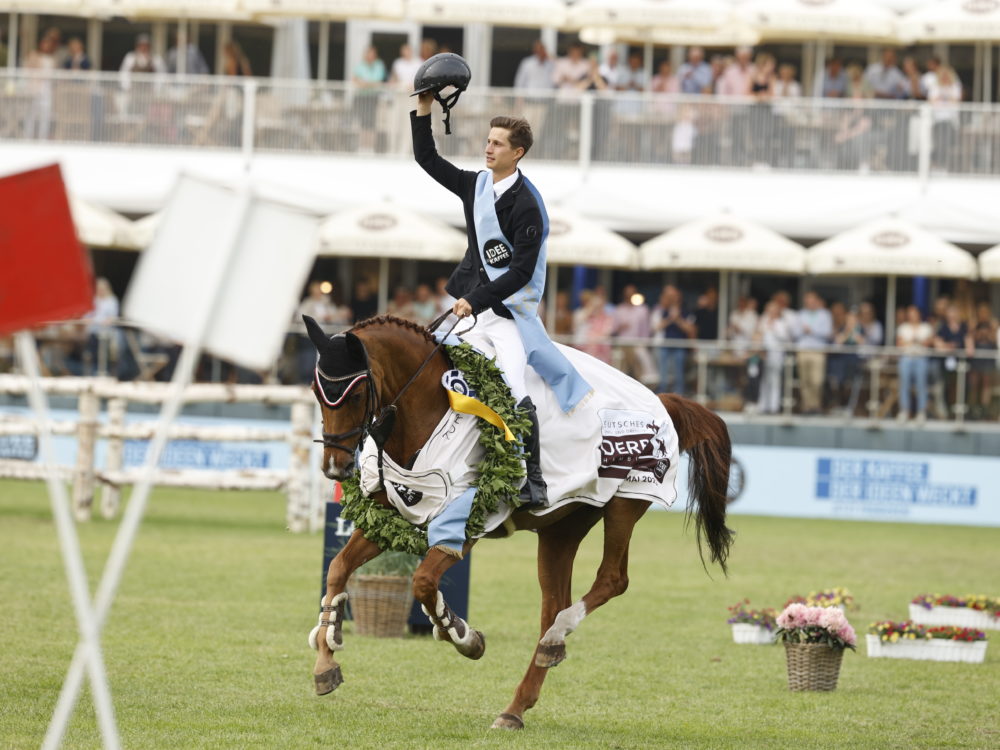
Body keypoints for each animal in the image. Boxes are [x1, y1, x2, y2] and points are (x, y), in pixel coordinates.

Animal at [304, 314, 736, 732]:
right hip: (564, 527)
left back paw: (553, 641)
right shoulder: (393, 512)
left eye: (355, 394)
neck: (424, 411)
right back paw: (522, 697)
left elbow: (424, 581)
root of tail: (660, 399)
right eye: (315, 390)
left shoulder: (466, 522)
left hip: (625, 504)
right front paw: (327, 654)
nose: (335, 468)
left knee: (612, 579)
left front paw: (462, 635)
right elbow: (338, 569)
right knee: (553, 605)